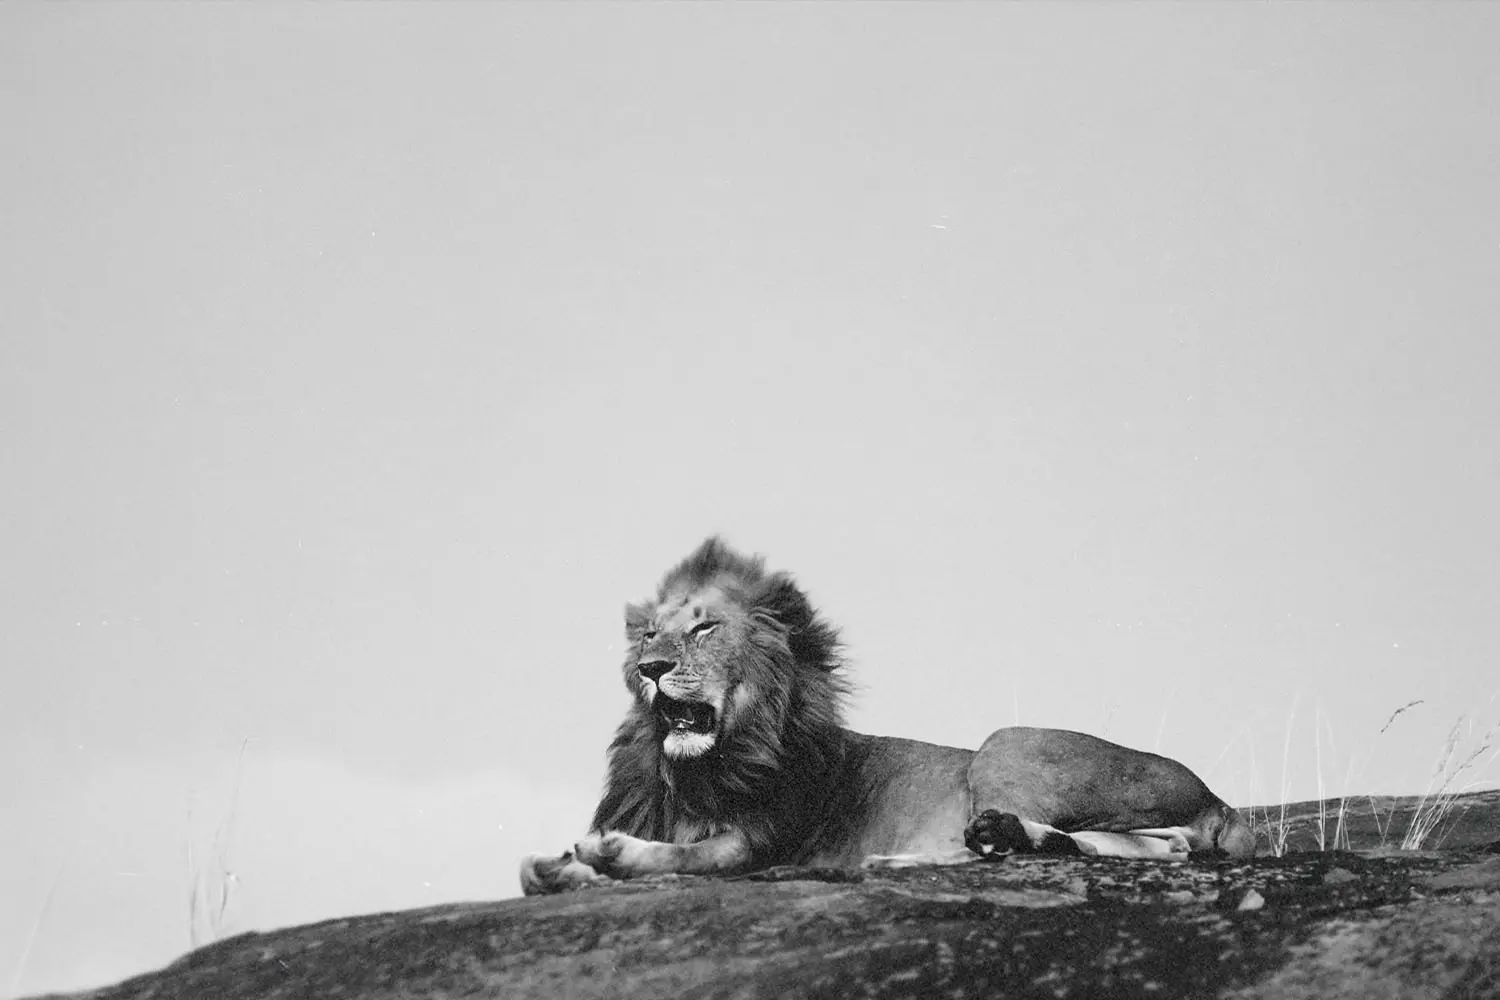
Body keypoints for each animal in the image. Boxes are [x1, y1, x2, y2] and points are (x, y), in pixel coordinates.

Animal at [521, 538, 1254, 894]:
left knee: (1171, 845)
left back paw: (959, 846)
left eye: (703, 629)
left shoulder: (760, 844)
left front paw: (608, 852)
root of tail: (1219, 799)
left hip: (1003, 744)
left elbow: (688, 855)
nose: (651, 668)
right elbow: (531, 872)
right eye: (648, 635)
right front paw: (562, 866)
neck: (696, 773)